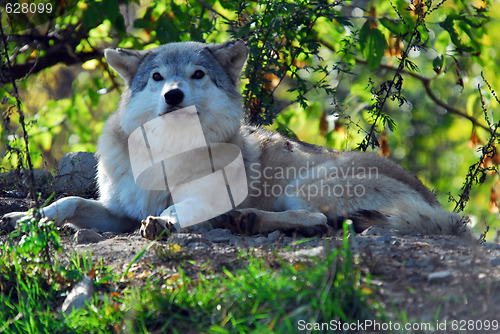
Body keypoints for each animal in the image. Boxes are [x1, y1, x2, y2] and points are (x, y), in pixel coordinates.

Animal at [1, 40, 472, 240]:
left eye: (197, 74)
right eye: (157, 77)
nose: (173, 95)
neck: (167, 157)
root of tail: (438, 207)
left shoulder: (199, 199)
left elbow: (176, 208)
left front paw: (166, 222)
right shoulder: (120, 212)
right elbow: (69, 202)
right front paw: (27, 217)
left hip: (307, 184)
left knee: (320, 221)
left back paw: (248, 221)